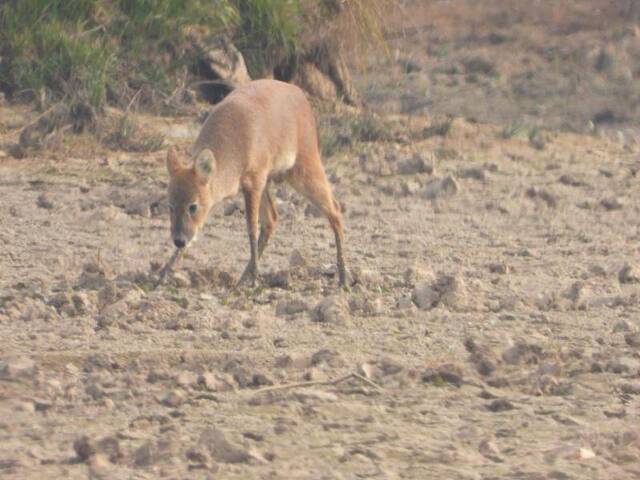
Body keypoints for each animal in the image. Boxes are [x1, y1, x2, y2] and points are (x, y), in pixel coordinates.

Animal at [162, 79, 348, 286]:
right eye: (170, 206)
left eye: (192, 206)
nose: (178, 240)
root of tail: (299, 94)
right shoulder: (222, 194)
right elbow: (199, 229)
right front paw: (165, 271)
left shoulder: (253, 182)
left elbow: (251, 227)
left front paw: (255, 279)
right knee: (273, 219)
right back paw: (243, 278)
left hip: (305, 171)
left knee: (334, 209)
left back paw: (343, 278)